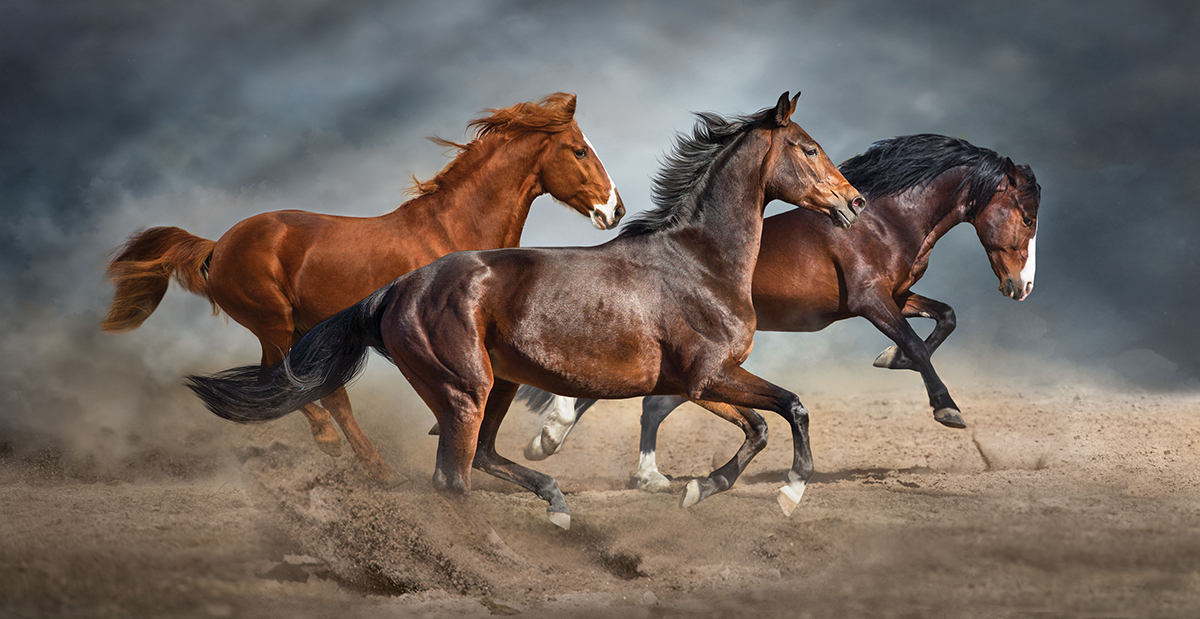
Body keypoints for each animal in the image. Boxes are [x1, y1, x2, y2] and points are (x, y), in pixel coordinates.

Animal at [103, 93, 623, 484]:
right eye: (579, 150)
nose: (614, 210)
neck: (455, 230)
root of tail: (219, 245)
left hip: (301, 328)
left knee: (313, 389)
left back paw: (369, 463)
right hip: (275, 323)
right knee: (286, 382)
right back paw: (346, 451)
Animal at [185, 91, 865, 528]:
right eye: (807, 148)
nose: (854, 202)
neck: (699, 260)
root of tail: (396, 289)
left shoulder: (696, 382)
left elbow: (757, 428)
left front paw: (698, 489)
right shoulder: (710, 375)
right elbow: (791, 408)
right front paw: (790, 494)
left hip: (500, 384)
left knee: (480, 456)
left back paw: (555, 504)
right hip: (465, 389)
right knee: (451, 475)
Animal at [516, 134, 1042, 491]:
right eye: (1027, 216)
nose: (1022, 288)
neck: (884, 220)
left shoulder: (899, 295)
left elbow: (945, 317)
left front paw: (889, 360)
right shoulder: (871, 300)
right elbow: (917, 342)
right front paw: (946, 409)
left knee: (653, 403)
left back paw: (638, 471)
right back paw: (554, 439)